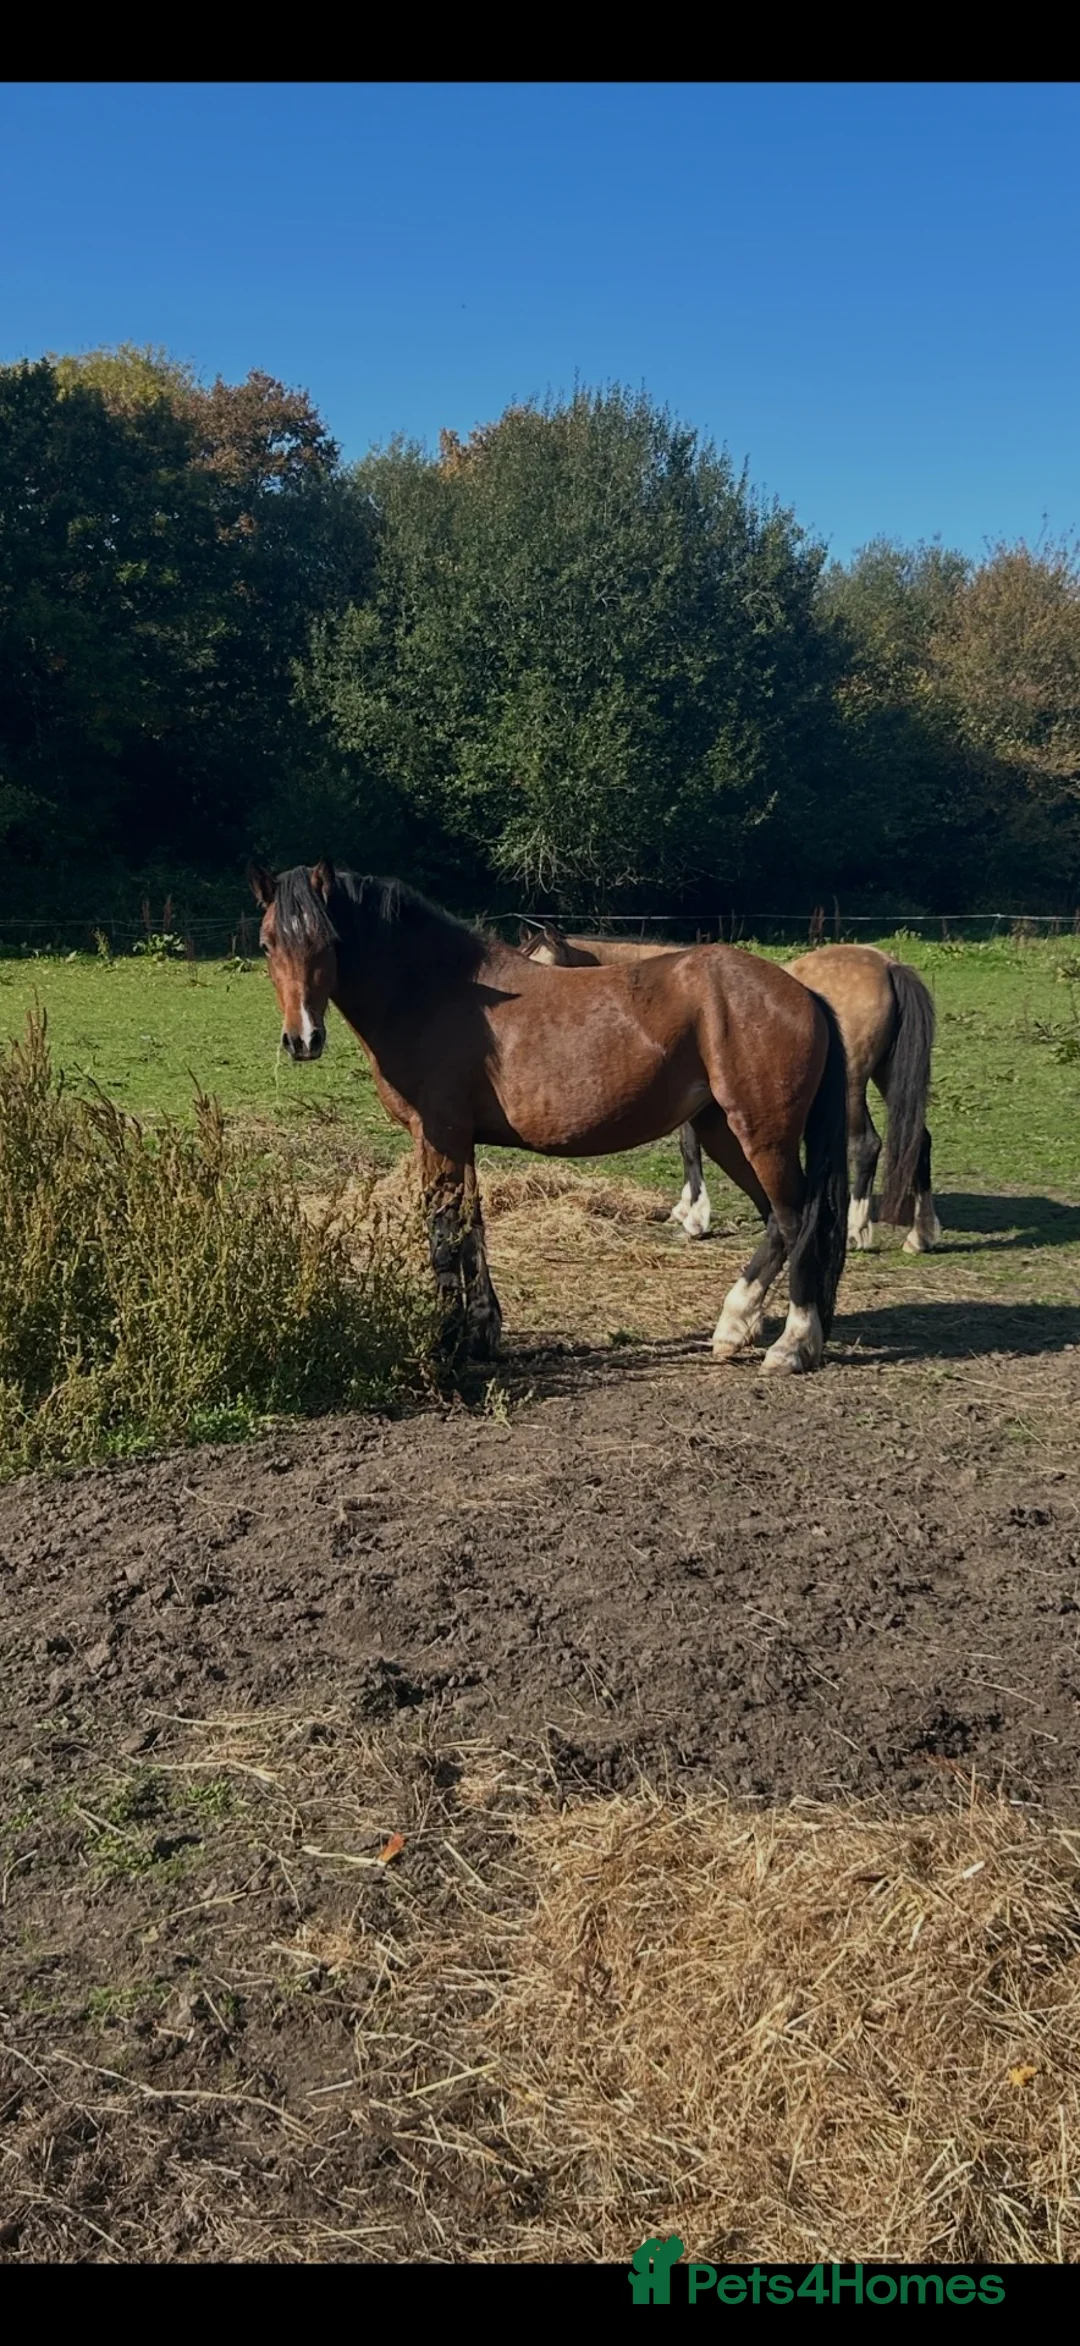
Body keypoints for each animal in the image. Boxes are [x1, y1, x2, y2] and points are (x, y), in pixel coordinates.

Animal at [252, 863, 850, 1375]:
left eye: (329, 942)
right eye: (267, 943)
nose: (303, 1039)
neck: (435, 991)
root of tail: (805, 992)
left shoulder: (439, 1136)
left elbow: (444, 1232)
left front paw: (445, 1343)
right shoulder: (460, 1142)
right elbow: (472, 1228)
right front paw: (481, 1334)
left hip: (762, 1135)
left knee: (797, 1221)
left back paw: (792, 1345)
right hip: (723, 1130)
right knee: (776, 1221)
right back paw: (734, 1327)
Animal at [520, 927, 940, 1254]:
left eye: (548, 965)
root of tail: (886, 965)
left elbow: (690, 1149)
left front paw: (695, 1219)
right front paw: (685, 1209)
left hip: (852, 1088)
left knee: (866, 1144)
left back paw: (857, 1230)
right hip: (887, 1077)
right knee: (918, 1139)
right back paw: (919, 1235)